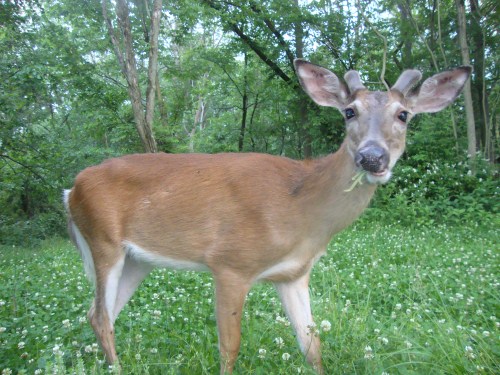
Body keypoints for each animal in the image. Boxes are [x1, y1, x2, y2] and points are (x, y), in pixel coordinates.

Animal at [64, 60, 470, 374]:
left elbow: (312, 346)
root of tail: (72, 189)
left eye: (404, 115)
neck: (301, 210)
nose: (372, 157)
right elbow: (230, 348)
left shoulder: (294, 274)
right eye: (349, 111)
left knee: (98, 314)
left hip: (138, 259)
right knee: (101, 316)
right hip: (103, 241)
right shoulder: (230, 262)